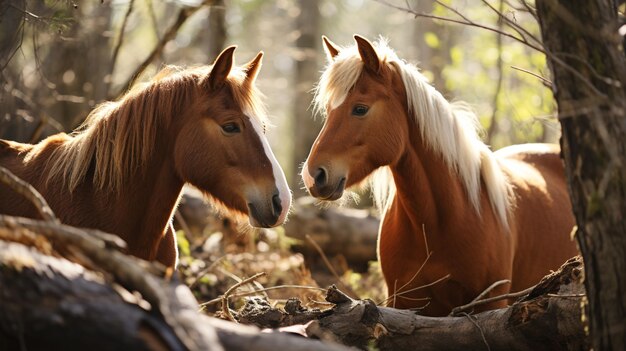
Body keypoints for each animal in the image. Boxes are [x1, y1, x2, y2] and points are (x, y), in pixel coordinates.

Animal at [302, 35, 576, 316]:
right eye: (328, 110)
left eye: (360, 109)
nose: (313, 176)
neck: (436, 224)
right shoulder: (402, 302)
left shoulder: (491, 302)